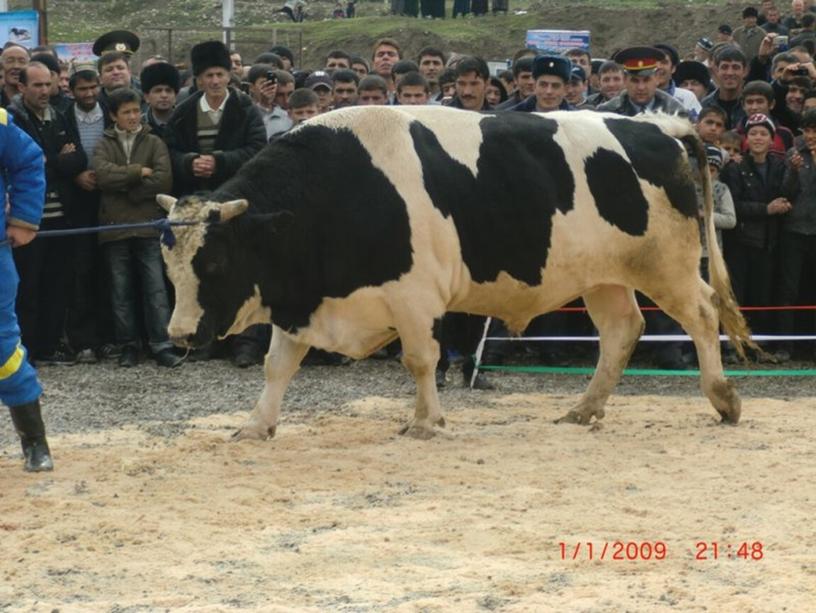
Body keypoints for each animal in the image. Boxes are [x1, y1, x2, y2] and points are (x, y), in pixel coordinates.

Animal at [158, 106, 752, 440]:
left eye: (214, 262)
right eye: (169, 265)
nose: (180, 334)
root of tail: (660, 126)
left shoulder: (414, 296)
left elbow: (421, 360)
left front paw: (426, 422)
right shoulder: (303, 299)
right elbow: (277, 367)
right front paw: (256, 426)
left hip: (666, 264)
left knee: (702, 315)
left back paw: (723, 398)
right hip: (604, 275)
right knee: (622, 331)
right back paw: (584, 410)